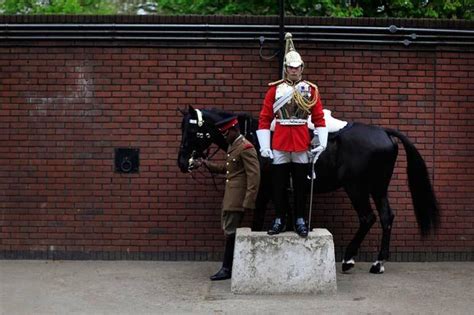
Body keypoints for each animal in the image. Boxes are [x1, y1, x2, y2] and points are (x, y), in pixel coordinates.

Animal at [178, 106, 440, 274]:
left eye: (191, 131)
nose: (182, 162)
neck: (253, 138)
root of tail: (384, 132)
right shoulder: (284, 190)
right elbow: (287, 217)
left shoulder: (263, 191)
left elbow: (257, 222)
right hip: (378, 188)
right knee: (386, 217)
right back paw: (377, 263)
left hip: (356, 188)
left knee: (368, 218)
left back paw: (349, 259)